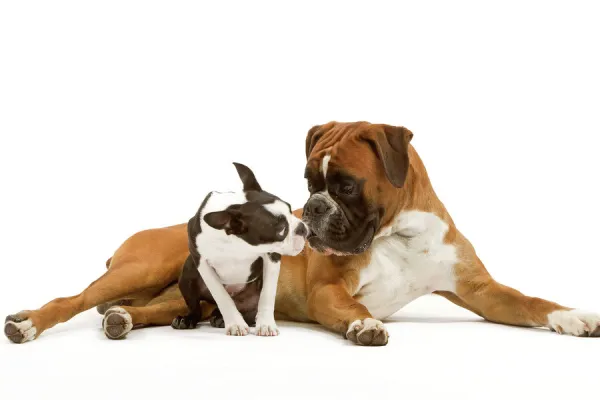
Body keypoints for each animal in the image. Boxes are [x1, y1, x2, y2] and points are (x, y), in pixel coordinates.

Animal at [169, 161, 308, 336]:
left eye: (290, 209)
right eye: (281, 230)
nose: (302, 228)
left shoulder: (272, 255)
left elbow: (267, 294)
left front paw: (266, 324)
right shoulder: (200, 260)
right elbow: (221, 295)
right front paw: (235, 323)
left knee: (249, 310)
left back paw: (222, 318)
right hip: (187, 273)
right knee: (197, 307)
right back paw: (188, 319)